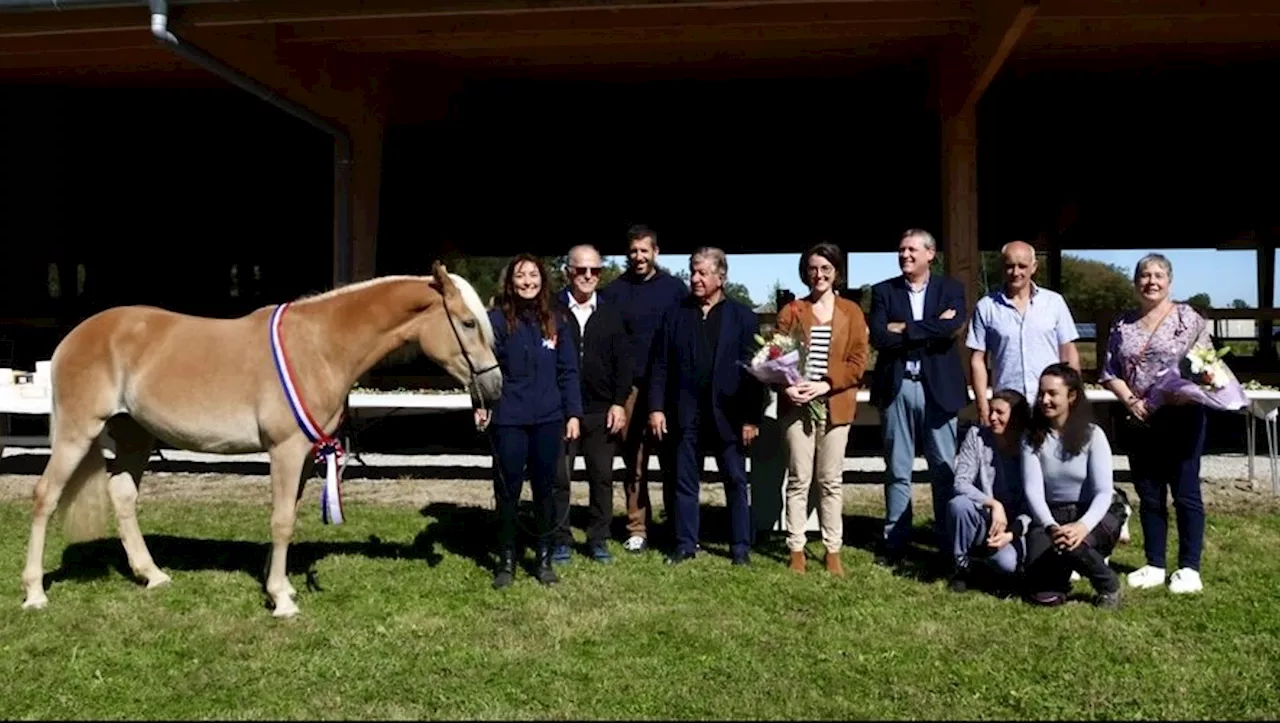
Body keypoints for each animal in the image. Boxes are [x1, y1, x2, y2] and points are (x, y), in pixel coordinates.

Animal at [21, 262, 499, 616]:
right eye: (467, 323)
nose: (494, 387)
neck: (319, 347)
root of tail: (73, 337)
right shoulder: (285, 449)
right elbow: (282, 520)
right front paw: (282, 600)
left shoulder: (305, 455)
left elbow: (288, 515)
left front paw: (277, 583)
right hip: (77, 433)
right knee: (45, 496)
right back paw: (35, 593)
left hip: (135, 436)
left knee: (122, 496)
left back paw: (151, 575)